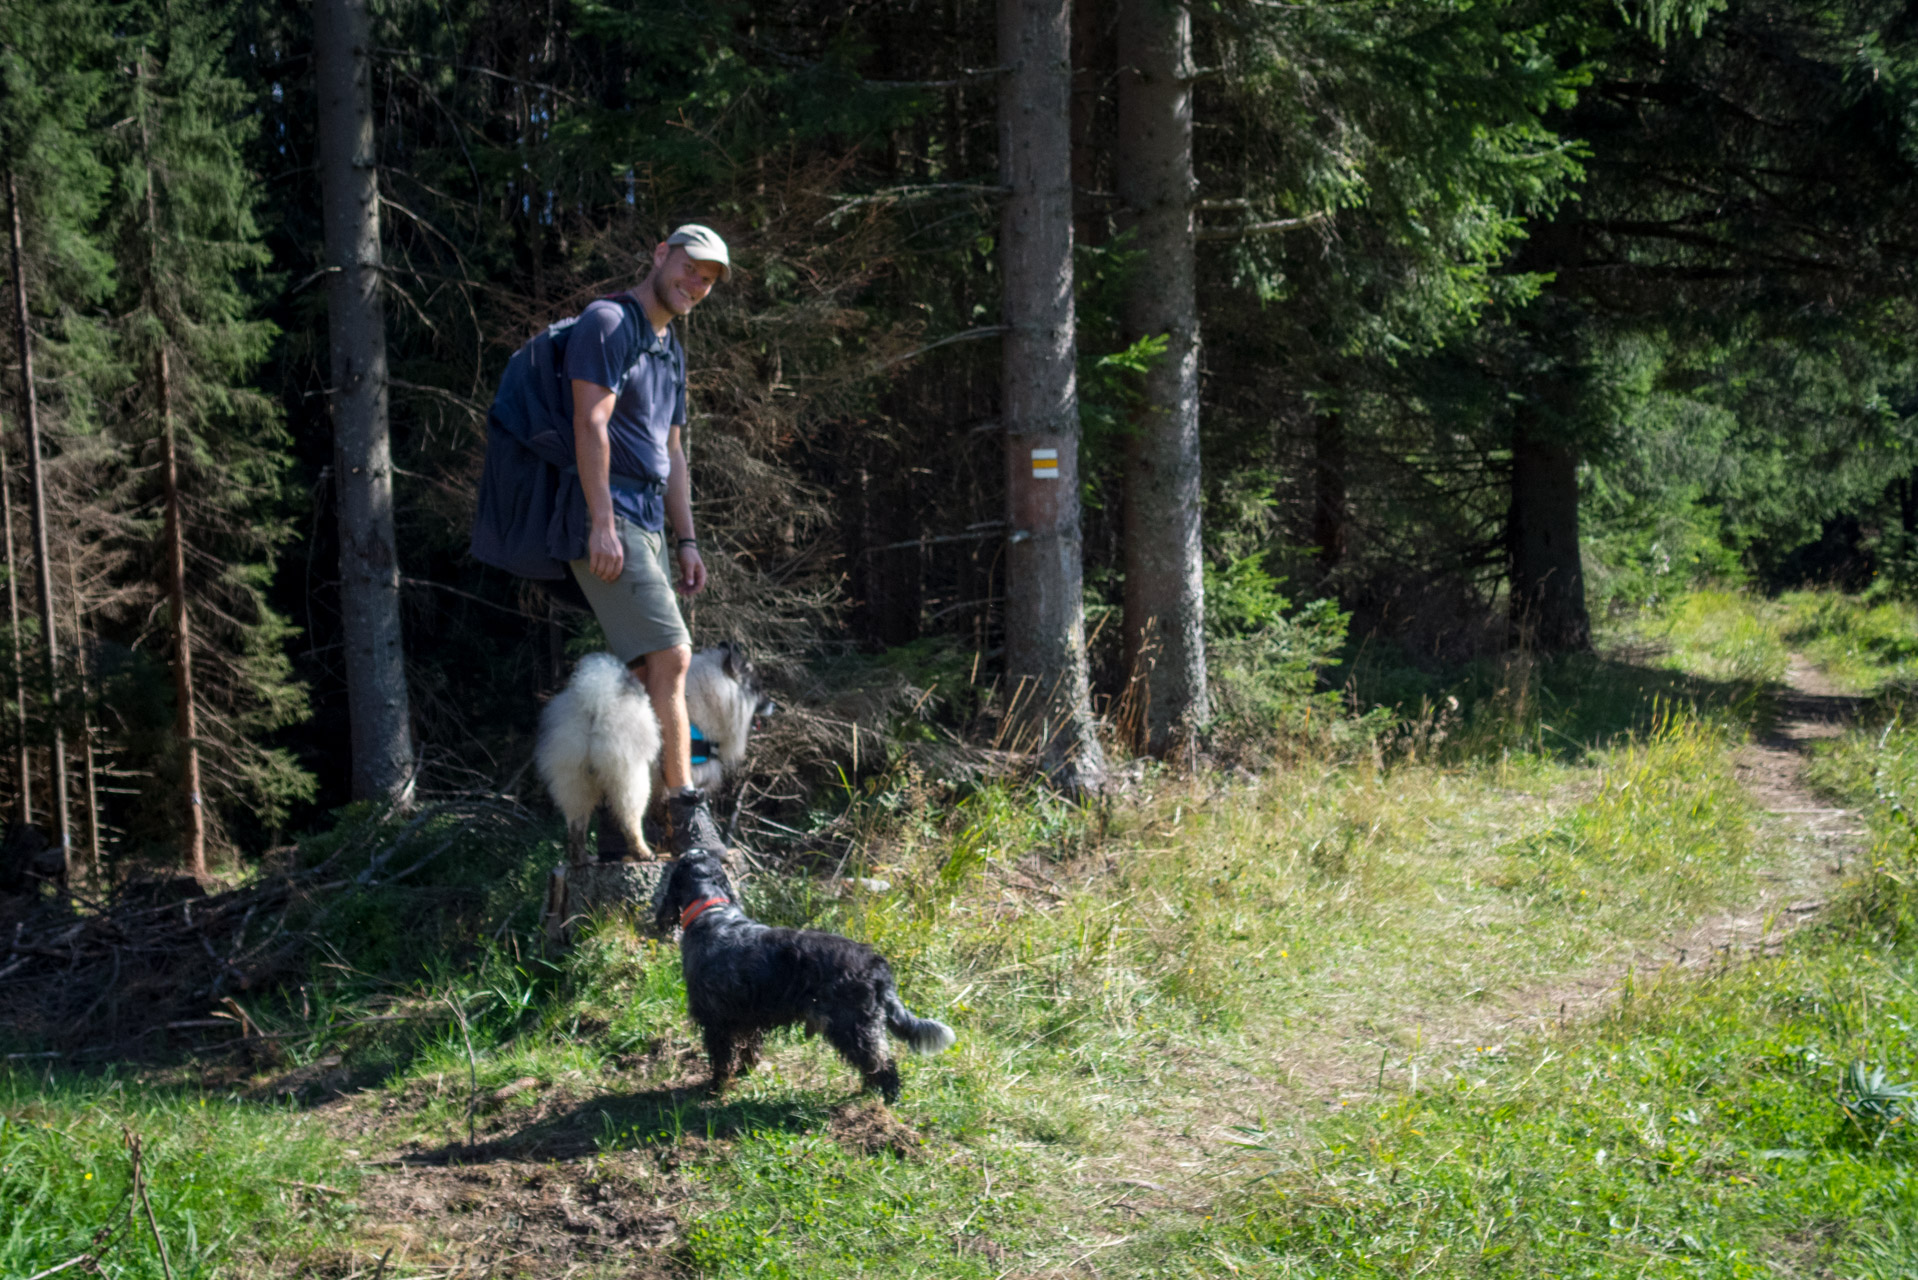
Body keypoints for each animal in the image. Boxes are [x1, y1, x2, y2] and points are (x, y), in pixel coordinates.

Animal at [537, 644, 774, 867]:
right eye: (758, 688)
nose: (774, 704)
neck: (712, 697)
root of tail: (594, 706)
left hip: (575, 781)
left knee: (576, 825)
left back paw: (582, 858)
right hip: (633, 779)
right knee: (629, 821)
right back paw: (642, 853)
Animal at [659, 844, 959, 1105]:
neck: (713, 912)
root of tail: (876, 963)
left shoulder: (715, 1021)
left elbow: (721, 1061)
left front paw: (715, 1089)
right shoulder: (746, 1019)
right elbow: (748, 1050)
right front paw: (745, 1073)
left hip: (851, 1026)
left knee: (884, 1065)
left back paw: (887, 1100)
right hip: (864, 1025)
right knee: (877, 1063)